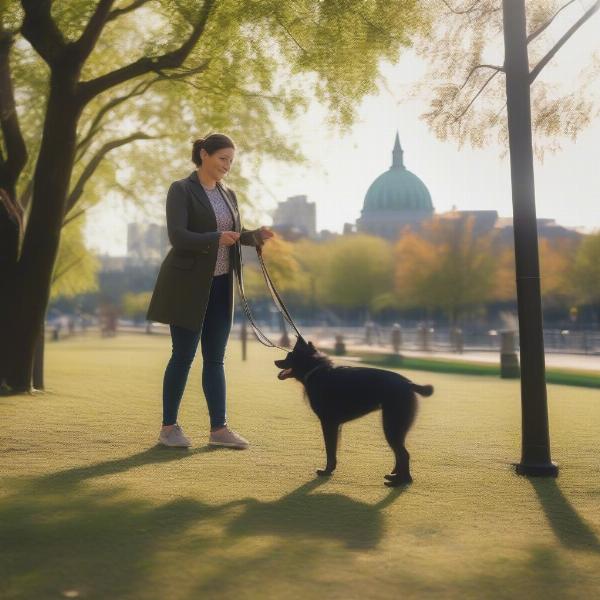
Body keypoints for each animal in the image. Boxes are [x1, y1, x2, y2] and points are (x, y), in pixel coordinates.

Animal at [274, 338, 434, 488]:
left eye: (289, 356)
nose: (275, 361)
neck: (316, 371)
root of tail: (409, 384)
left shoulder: (328, 423)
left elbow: (330, 450)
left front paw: (327, 471)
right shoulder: (334, 425)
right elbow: (333, 450)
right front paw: (330, 469)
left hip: (391, 427)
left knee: (403, 454)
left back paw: (400, 482)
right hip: (395, 429)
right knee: (399, 454)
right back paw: (396, 476)